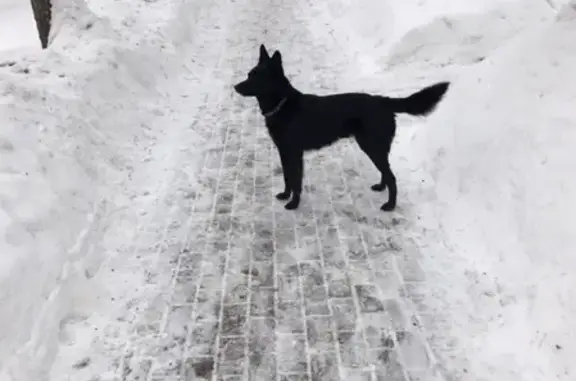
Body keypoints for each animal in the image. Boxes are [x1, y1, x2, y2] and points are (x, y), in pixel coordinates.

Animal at [234, 44, 450, 211]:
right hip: (376, 148)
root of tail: (383, 101)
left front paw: (293, 204)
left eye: (257, 77)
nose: (235, 87)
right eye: (249, 74)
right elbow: (288, 178)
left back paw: (390, 205)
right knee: (386, 173)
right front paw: (285, 195)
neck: (283, 104)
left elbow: (296, 181)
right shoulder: (284, 152)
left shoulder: (295, 153)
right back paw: (381, 188)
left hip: (372, 146)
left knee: (392, 178)